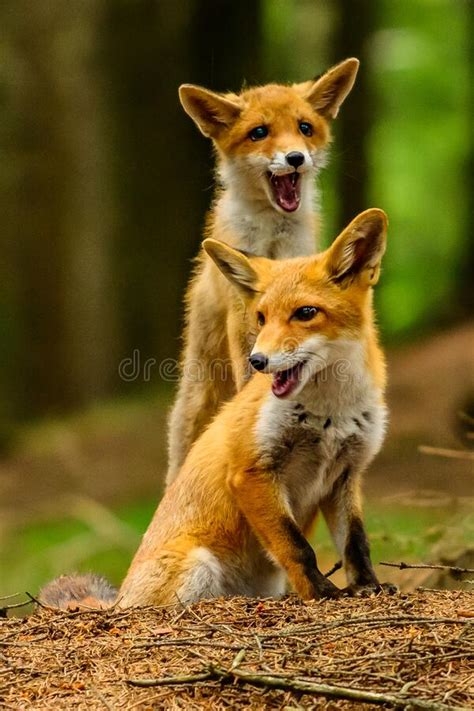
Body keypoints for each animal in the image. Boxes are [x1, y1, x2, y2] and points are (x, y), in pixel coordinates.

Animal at [40, 209, 394, 608]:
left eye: (306, 313)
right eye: (261, 318)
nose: (257, 360)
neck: (331, 413)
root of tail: (118, 602)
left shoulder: (346, 474)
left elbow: (356, 545)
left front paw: (367, 587)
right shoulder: (250, 470)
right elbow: (298, 548)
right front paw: (320, 594)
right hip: (199, 565)